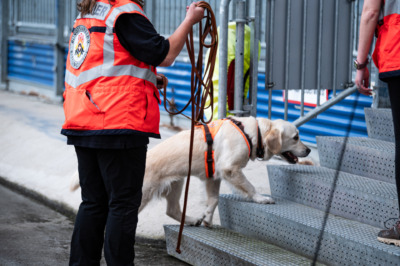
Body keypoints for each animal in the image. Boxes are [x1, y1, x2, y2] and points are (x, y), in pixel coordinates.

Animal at [70, 117, 310, 228]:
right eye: (296, 137)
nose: (308, 150)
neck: (253, 133)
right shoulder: (230, 169)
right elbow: (249, 187)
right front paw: (261, 198)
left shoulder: (213, 176)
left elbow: (213, 200)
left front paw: (207, 219)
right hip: (142, 195)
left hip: (177, 182)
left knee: (172, 210)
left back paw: (193, 219)